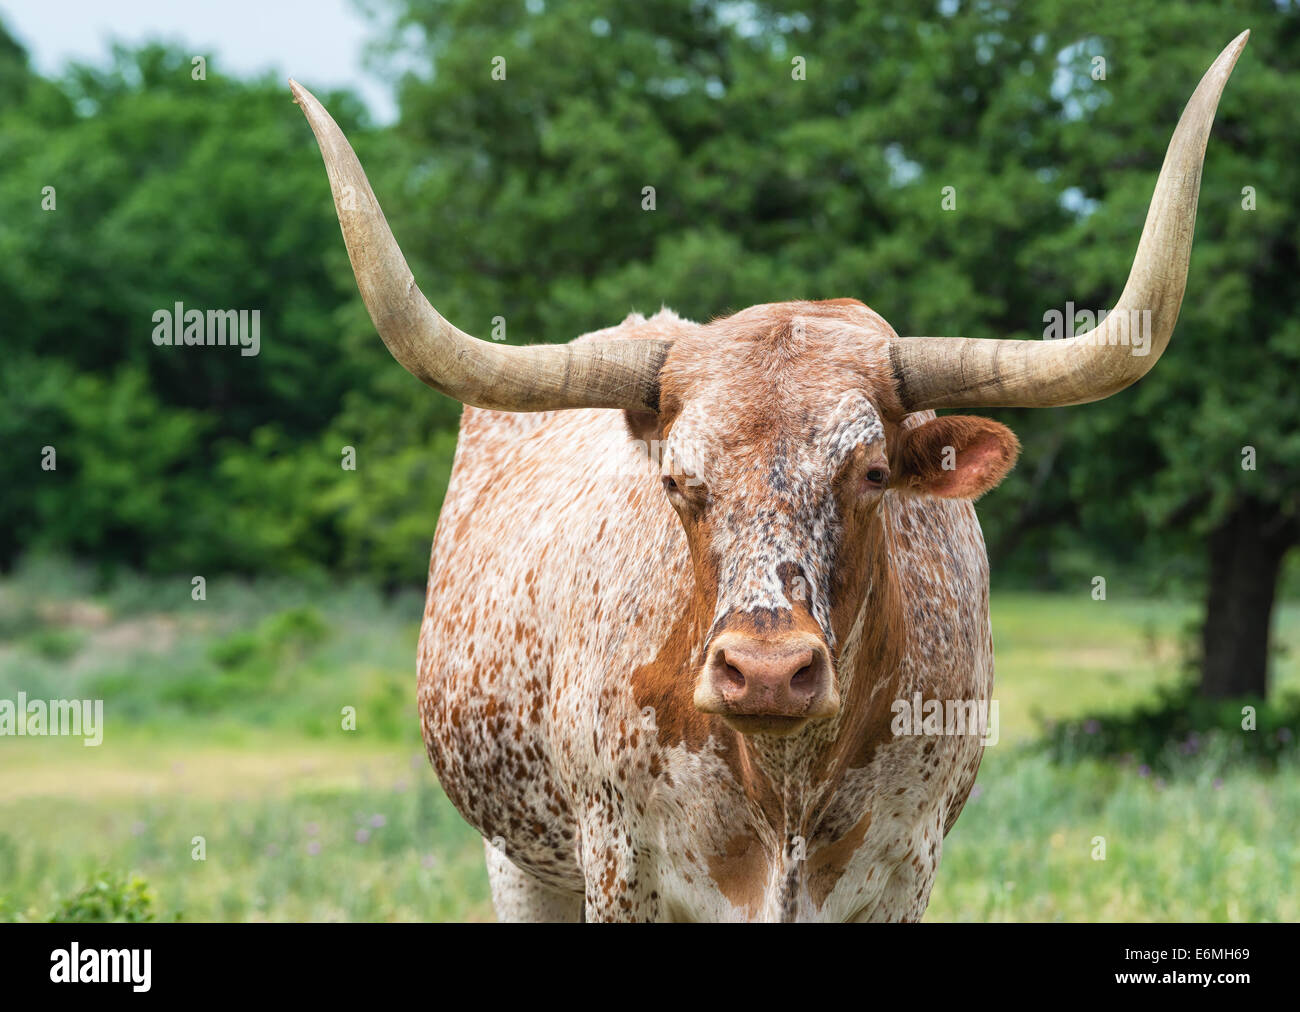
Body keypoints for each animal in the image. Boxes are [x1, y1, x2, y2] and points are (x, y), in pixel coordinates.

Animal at [289, 31, 1242, 920]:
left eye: (872, 473)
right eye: (678, 481)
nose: (768, 671)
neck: (784, 782)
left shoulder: (906, 868)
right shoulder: (618, 862)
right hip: (518, 861)